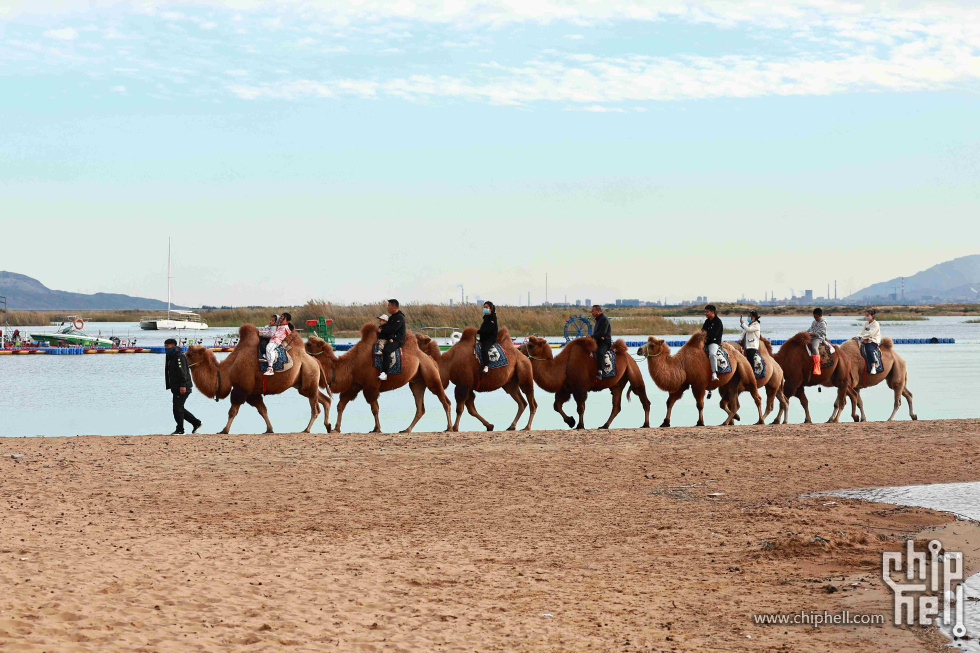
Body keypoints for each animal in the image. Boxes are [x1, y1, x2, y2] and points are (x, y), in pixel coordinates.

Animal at [186, 324, 332, 432]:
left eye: (190, 355)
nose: (182, 358)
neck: (228, 371)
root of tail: (314, 360)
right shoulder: (252, 392)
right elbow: (262, 410)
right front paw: (269, 429)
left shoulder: (241, 388)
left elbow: (232, 411)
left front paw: (224, 430)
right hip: (302, 383)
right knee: (325, 400)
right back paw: (328, 426)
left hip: (309, 374)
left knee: (315, 408)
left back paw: (307, 429)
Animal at [304, 322, 454, 432]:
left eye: (309, 344)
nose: (302, 351)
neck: (351, 364)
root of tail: (430, 358)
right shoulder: (355, 385)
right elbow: (341, 405)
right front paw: (336, 428)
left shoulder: (371, 386)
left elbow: (374, 408)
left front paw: (377, 428)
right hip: (417, 381)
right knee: (420, 407)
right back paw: (406, 429)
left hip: (431, 375)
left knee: (445, 400)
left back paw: (449, 428)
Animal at [512, 334, 652, 430]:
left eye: (531, 345)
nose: (518, 349)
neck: (563, 366)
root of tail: (628, 356)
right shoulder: (565, 389)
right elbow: (557, 406)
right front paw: (571, 421)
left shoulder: (580, 388)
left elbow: (580, 408)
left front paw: (579, 425)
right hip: (617, 383)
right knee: (616, 406)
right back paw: (604, 425)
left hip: (633, 372)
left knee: (642, 396)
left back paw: (646, 424)